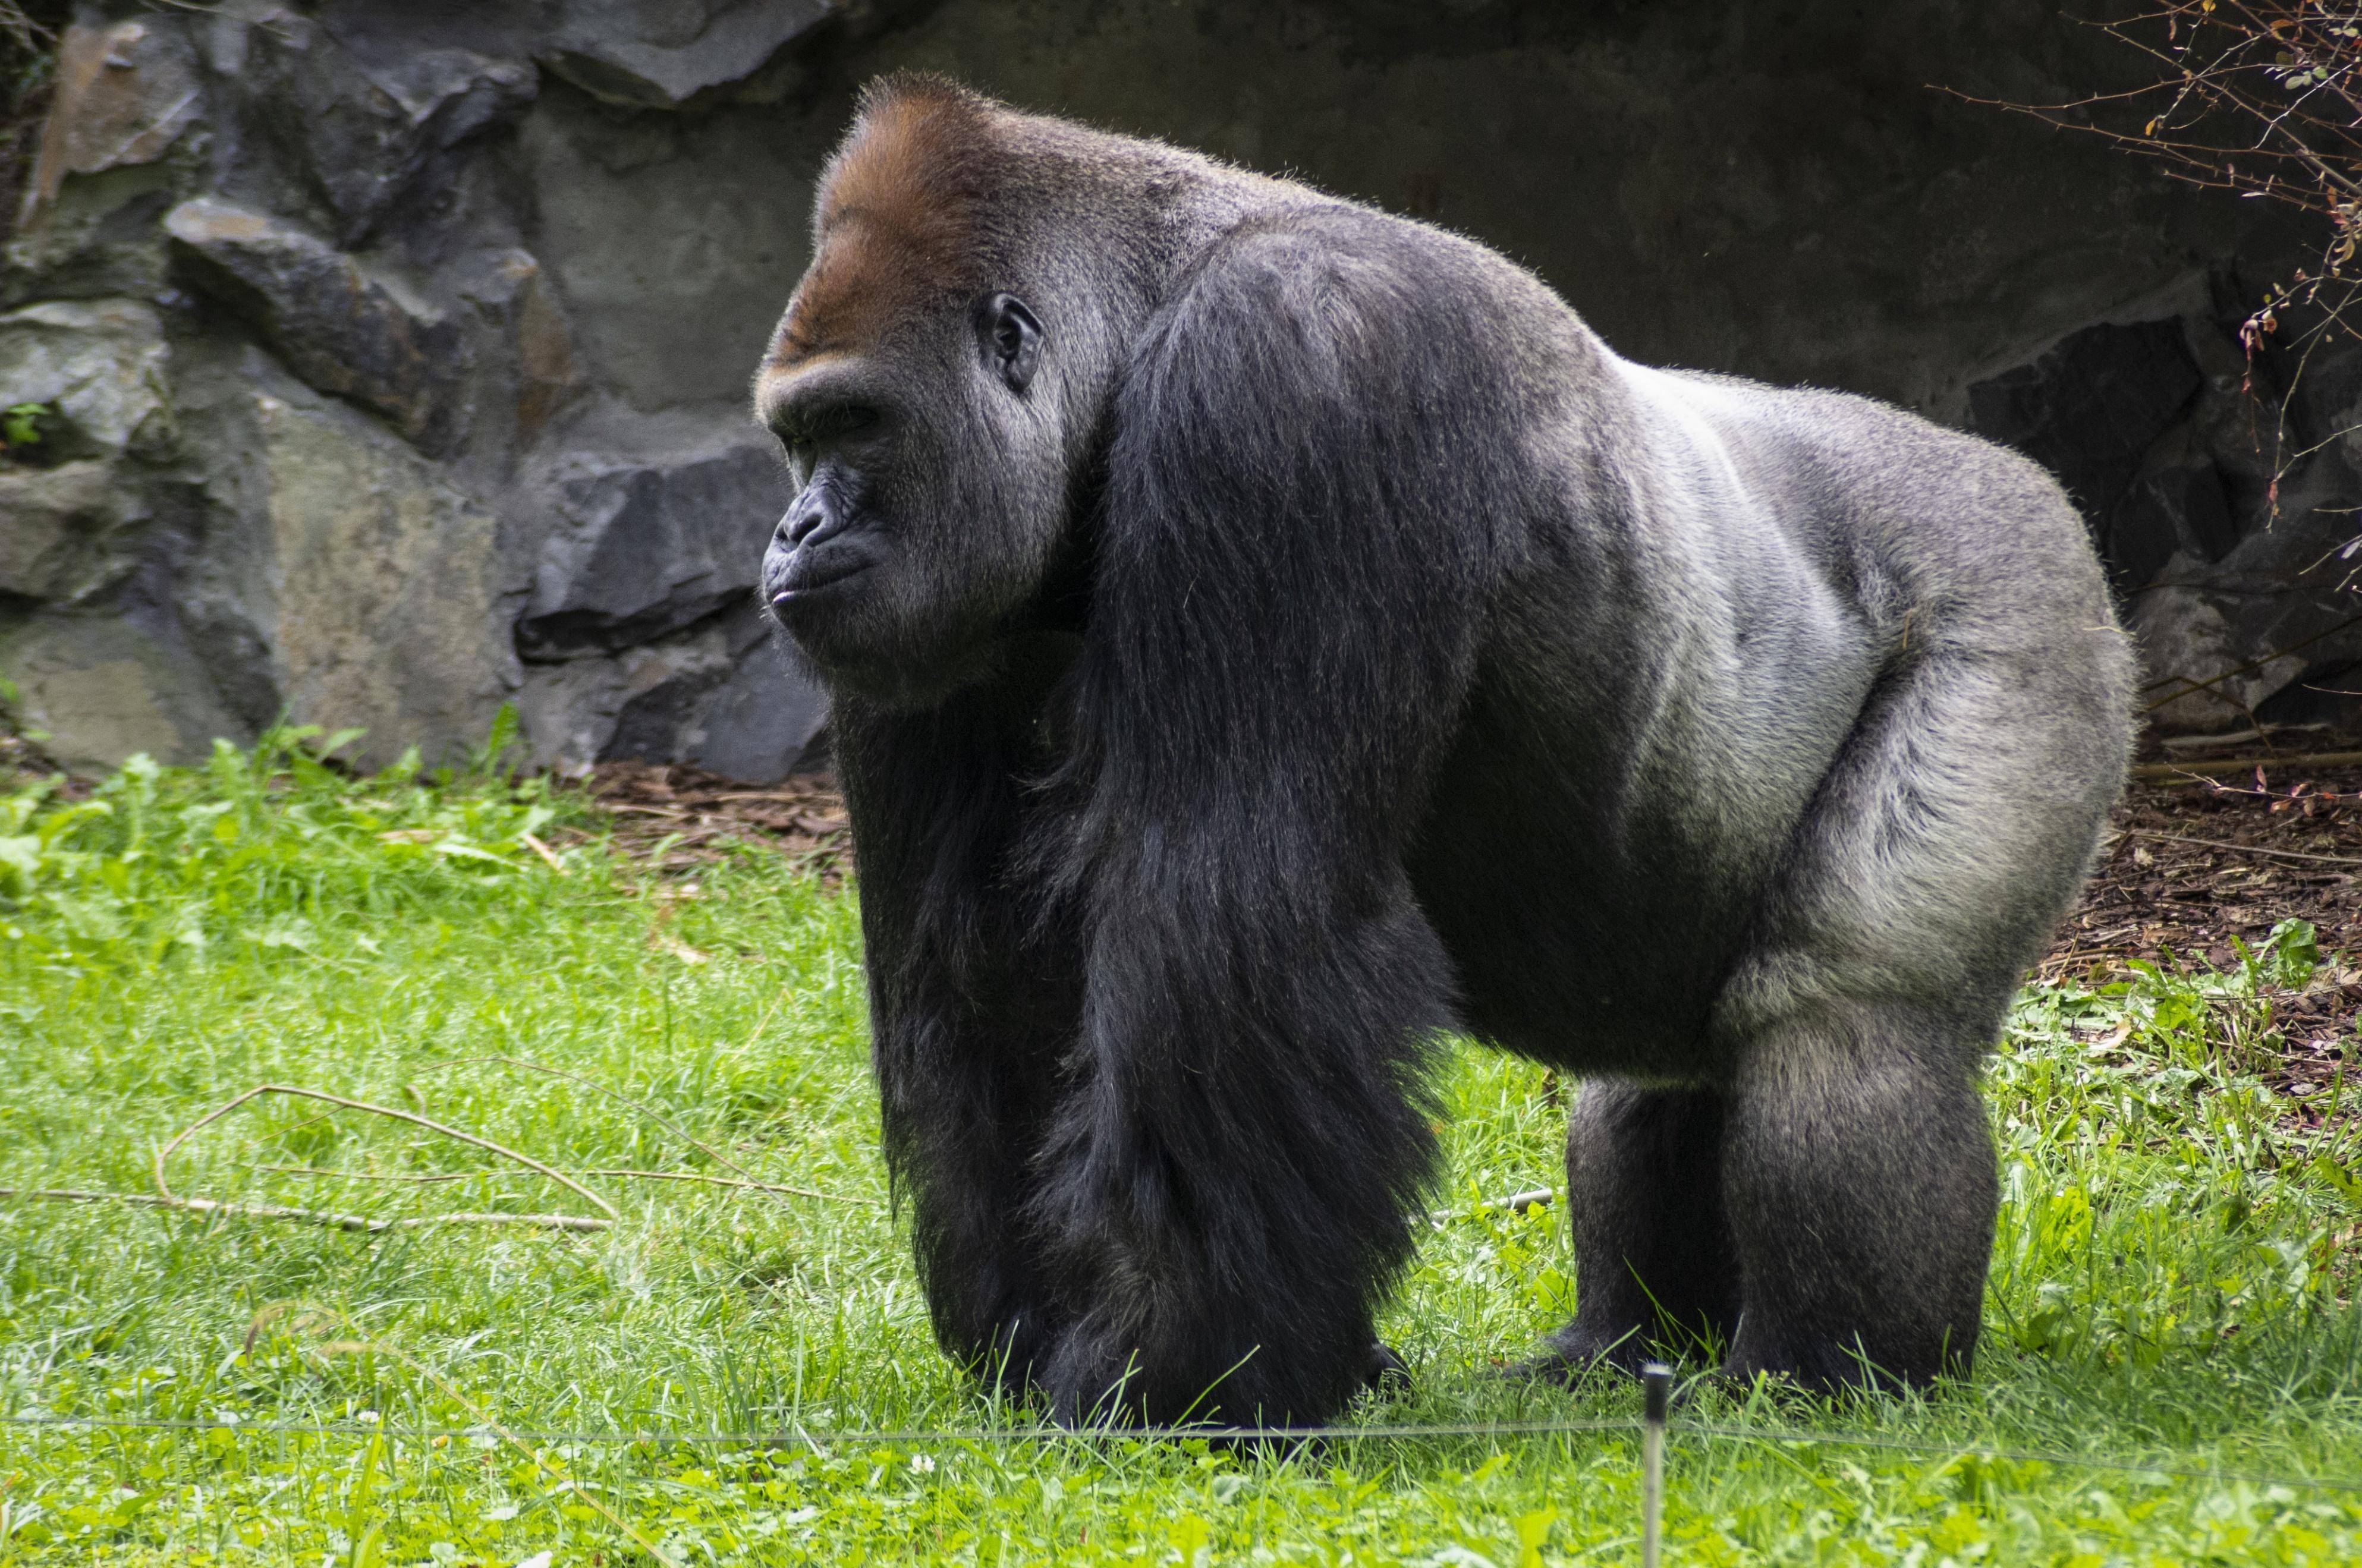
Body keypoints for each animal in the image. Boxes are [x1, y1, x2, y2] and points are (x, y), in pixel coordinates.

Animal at [756, 70, 2144, 1416]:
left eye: (858, 423)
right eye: (795, 438)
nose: (791, 532)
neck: (1141, 313)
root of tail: (2027, 482)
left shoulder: (1292, 372)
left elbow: (1224, 918)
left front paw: (1177, 1371)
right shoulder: (935, 611)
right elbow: (983, 971)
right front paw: (1041, 1333)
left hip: (2016, 597)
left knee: (1846, 1026)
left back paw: (1827, 1376)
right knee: (1669, 1069)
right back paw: (1623, 1344)